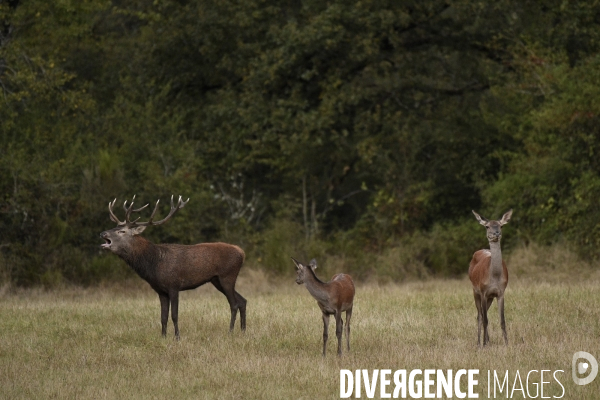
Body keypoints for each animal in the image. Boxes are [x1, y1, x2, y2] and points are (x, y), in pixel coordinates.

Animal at [99, 195, 247, 340]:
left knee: (234, 304)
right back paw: (243, 331)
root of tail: (241, 252)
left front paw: (177, 337)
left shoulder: (174, 285)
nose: (103, 233)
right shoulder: (160, 291)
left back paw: (230, 332)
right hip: (216, 280)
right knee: (243, 300)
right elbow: (163, 317)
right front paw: (163, 337)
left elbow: (174, 315)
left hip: (227, 276)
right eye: (114, 228)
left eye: (122, 231)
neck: (153, 265)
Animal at [468, 209, 510, 346]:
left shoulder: (500, 292)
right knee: (480, 316)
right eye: (487, 226)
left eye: (501, 225)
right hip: (475, 291)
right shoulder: (483, 292)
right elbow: (485, 319)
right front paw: (484, 345)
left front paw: (507, 343)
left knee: (483, 315)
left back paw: (487, 340)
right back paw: (479, 343)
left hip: (490, 297)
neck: (495, 277)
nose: (496, 233)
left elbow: (502, 320)